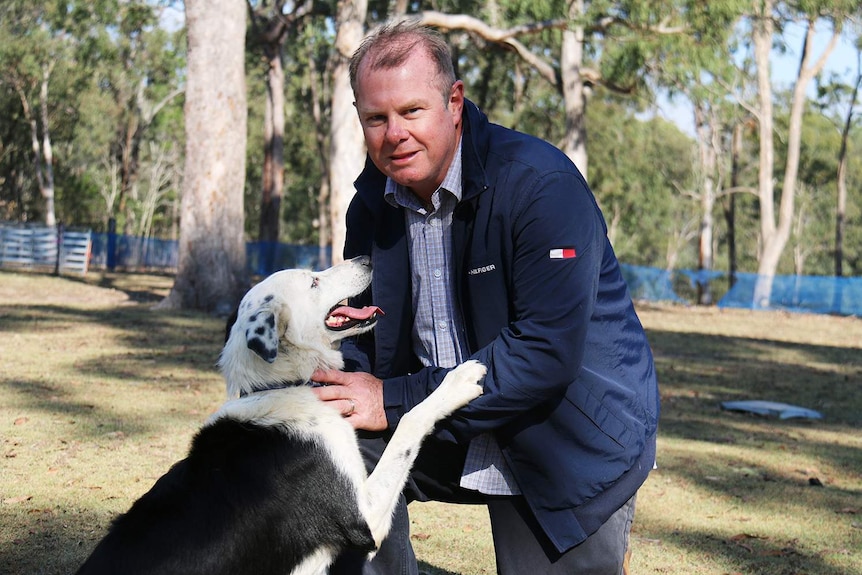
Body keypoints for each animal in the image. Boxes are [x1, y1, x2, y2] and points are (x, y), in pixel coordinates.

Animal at [74, 258, 486, 575]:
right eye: (314, 281)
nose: (366, 259)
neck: (280, 385)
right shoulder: (364, 519)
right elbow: (409, 423)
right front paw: (457, 381)